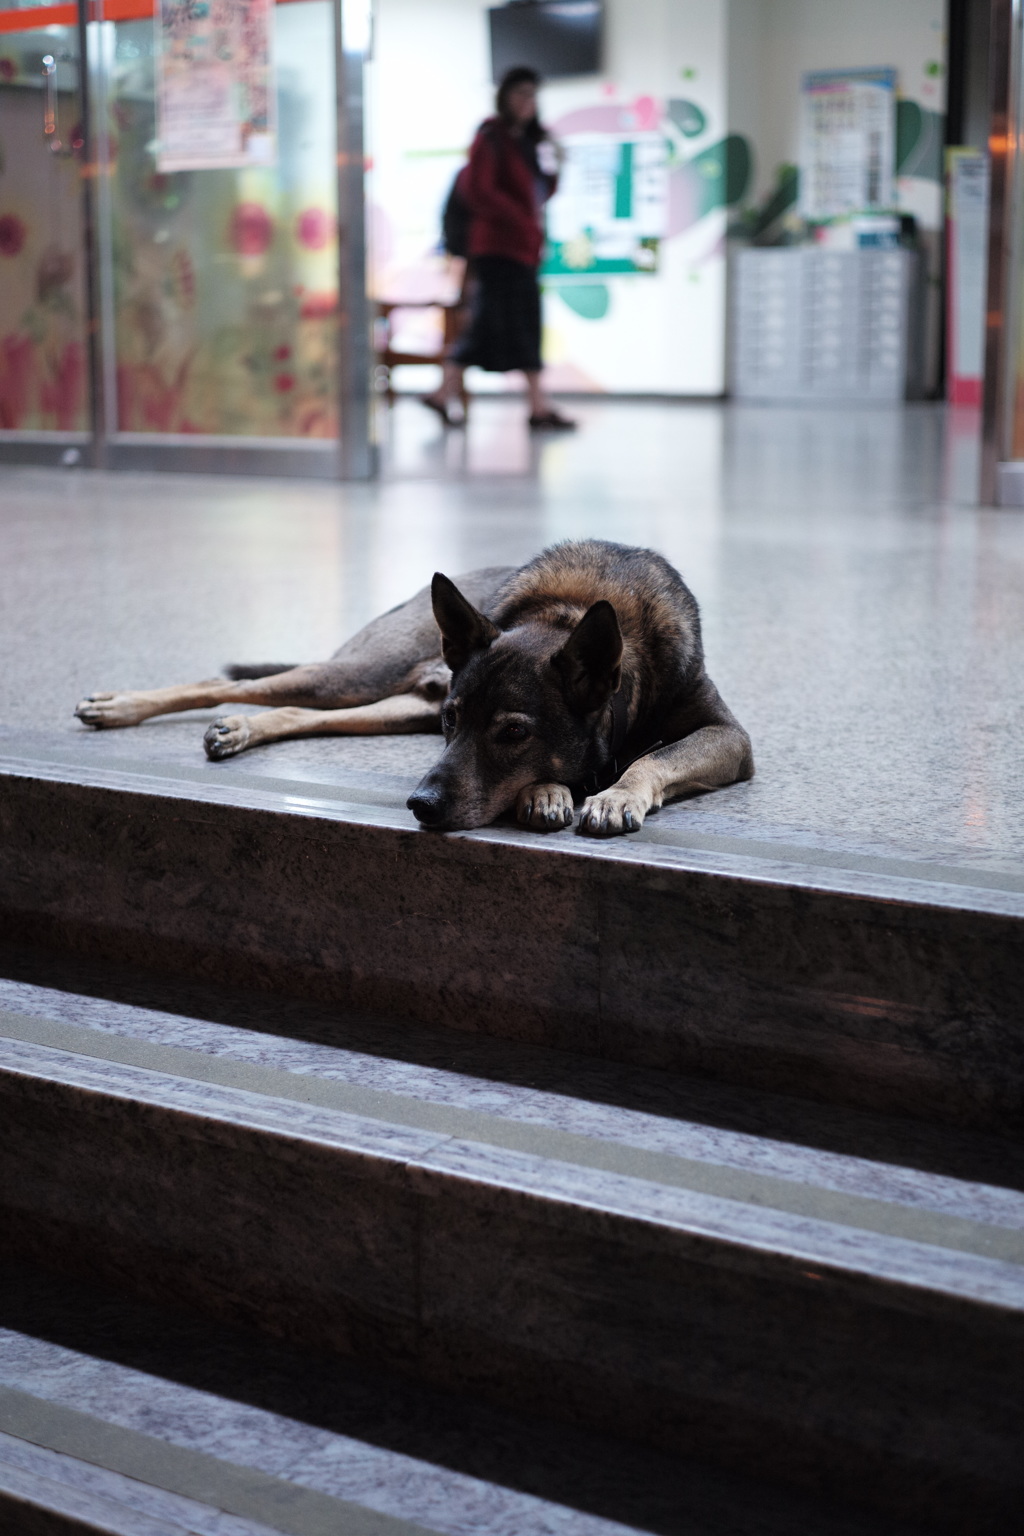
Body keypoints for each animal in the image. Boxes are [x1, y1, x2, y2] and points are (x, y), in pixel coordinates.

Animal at [75, 534, 752, 835]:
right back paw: (120, 706)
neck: (565, 613)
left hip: (392, 706)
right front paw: (555, 791)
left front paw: (608, 794)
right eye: (457, 720)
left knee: (297, 714)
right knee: (239, 684)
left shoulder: (729, 738)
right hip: (366, 678)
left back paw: (240, 729)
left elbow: (652, 758)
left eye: (513, 733)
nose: (420, 805)